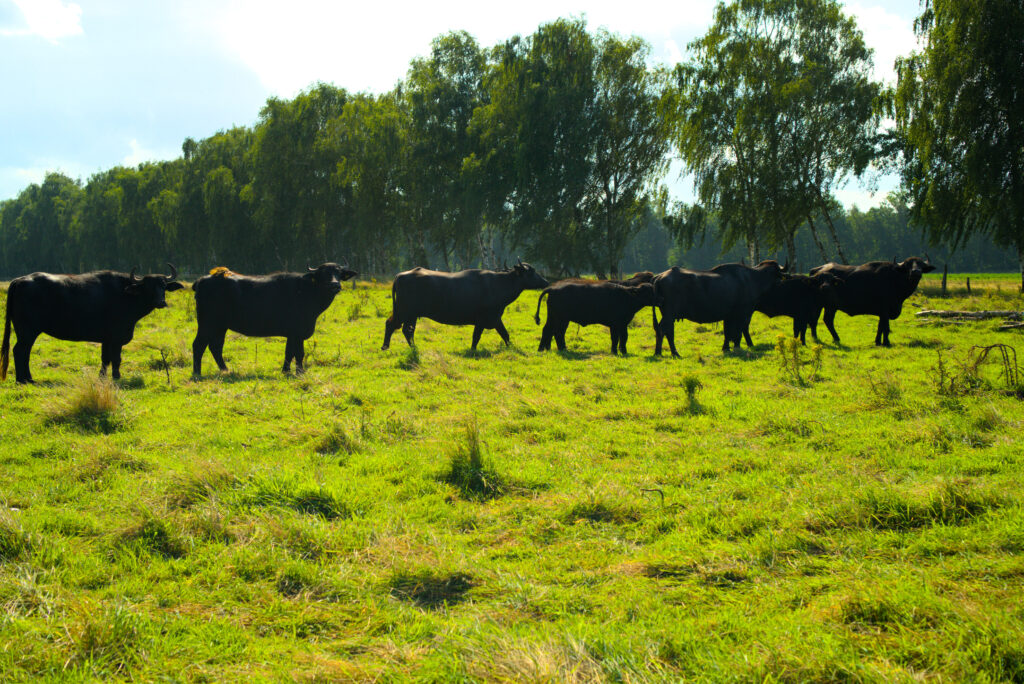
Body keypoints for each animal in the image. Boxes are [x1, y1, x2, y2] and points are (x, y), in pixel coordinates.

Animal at [1, 266, 184, 385]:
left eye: (163, 285)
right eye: (148, 286)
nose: (161, 302)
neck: (125, 294)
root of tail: (19, 280)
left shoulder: (106, 339)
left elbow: (105, 359)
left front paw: (102, 377)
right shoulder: (116, 338)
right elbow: (116, 358)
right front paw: (117, 377)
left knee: (24, 352)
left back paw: (28, 378)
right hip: (27, 331)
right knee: (20, 351)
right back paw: (23, 380)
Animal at [193, 264, 358, 378]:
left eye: (338, 273)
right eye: (323, 274)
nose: (335, 285)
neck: (307, 291)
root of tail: (205, 279)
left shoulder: (292, 334)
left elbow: (289, 352)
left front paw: (286, 371)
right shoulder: (297, 333)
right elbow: (299, 353)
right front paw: (300, 372)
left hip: (220, 327)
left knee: (215, 347)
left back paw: (225, 370)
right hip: (207, 324)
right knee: (199, 345)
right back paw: (197, 373)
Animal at [380, 259, 548, 350]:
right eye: (531, 272)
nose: (546, 282)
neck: (498, 284)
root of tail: (400, 276)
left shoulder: (494, 319)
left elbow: (505, 334)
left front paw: (511, 347)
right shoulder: (483, 319)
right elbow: (477, 337)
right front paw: (473, 350)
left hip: (408, 314)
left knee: (400, 327)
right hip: (406, 312)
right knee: (398, 327)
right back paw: (398, 347)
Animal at [651, 259, 786, 356]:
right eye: (778, 276)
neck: (752, 279)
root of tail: (660, 276)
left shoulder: (729, 316)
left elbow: (727, 332)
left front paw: (726, 348)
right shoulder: (743, 314)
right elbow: (738, 332)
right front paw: (737, 348)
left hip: (667, 315)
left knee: (663, 330)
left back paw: (659, 352)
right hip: (669, 314)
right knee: (665, 330)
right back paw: (672, 353)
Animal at [806, 254, 937, 348]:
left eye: (920, 264)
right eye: (908, 265)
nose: (916, 272)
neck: (895, 280)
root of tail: (816, 271)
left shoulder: (882, 312)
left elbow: (880, 326)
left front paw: (878, 342)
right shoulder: (885, 310)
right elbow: (886, 327)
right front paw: (887, 343)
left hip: (822, 305)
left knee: (815, 320)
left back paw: (816, 337)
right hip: (829, 306)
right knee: (825, 320)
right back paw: (836, 338)